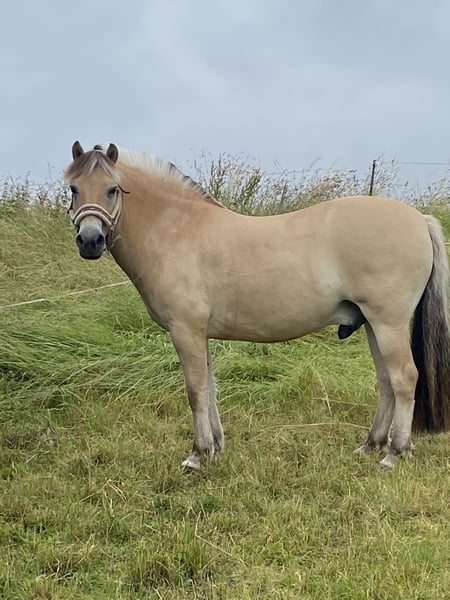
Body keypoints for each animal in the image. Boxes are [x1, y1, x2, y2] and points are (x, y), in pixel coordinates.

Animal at [64, 141, 450, 470]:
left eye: (113, 189)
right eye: (73, 189)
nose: (90, 240)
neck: (177, 229)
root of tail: (419, 219)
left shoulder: (185, 331)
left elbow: (195, 390)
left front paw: (197, 455)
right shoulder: (199, 334)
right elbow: (210, 387)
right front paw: (216, 447)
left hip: (388, 324)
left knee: (404, 378)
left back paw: (394, 453)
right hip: (372, 324)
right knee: (386, 381)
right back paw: (371, 445)